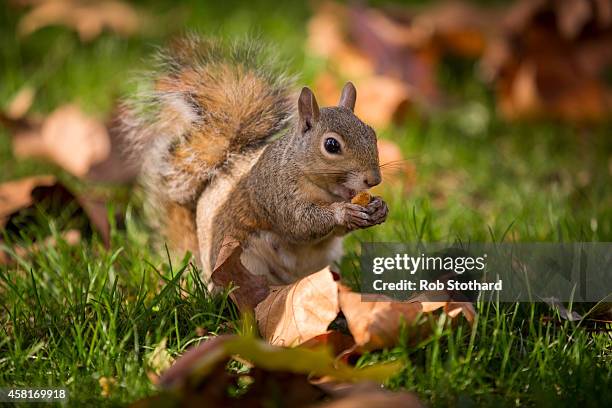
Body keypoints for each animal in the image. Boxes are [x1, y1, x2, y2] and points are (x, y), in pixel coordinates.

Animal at [119, 36, 388, 286]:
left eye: (372, 133)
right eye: (331, 145)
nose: (374, 179)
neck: (327, 189)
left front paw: (379, 208)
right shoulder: (274, 191)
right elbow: (300, 223)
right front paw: (343, 212)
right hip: (242, 260)